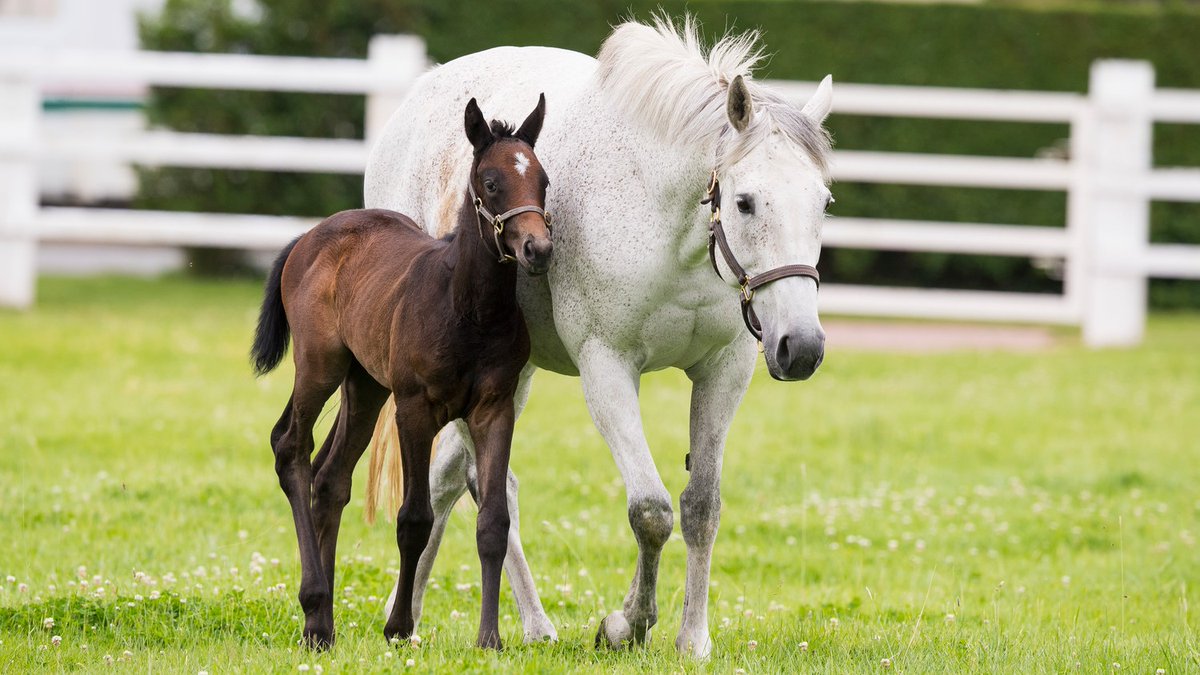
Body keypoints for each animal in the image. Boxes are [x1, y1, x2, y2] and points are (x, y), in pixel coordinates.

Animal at [250, 95, 552, 650]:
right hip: (320, 365)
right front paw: (398, 627)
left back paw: (323, 620)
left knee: (330, 476)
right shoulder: (414, 409)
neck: (470, 310)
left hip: (365, 384)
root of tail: (310, 235)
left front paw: (490, 638)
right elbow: (414, 518)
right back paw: (314, 607)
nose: (538, 250)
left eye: (543, 180)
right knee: (290, 447)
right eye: (491, 182)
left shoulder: (494, 409)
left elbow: (493, 521)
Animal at [363, 15, 833, 657]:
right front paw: (626, 625)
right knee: (477, 483)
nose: (802, 347)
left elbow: (700, 507)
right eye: (745, 202)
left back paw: (431, 616)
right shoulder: (606, 368)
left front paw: (692, 638)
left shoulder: (724, 370)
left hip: (513, 372)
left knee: (455, 481)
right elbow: (651, 511)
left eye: (824, 204)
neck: (666, 222)